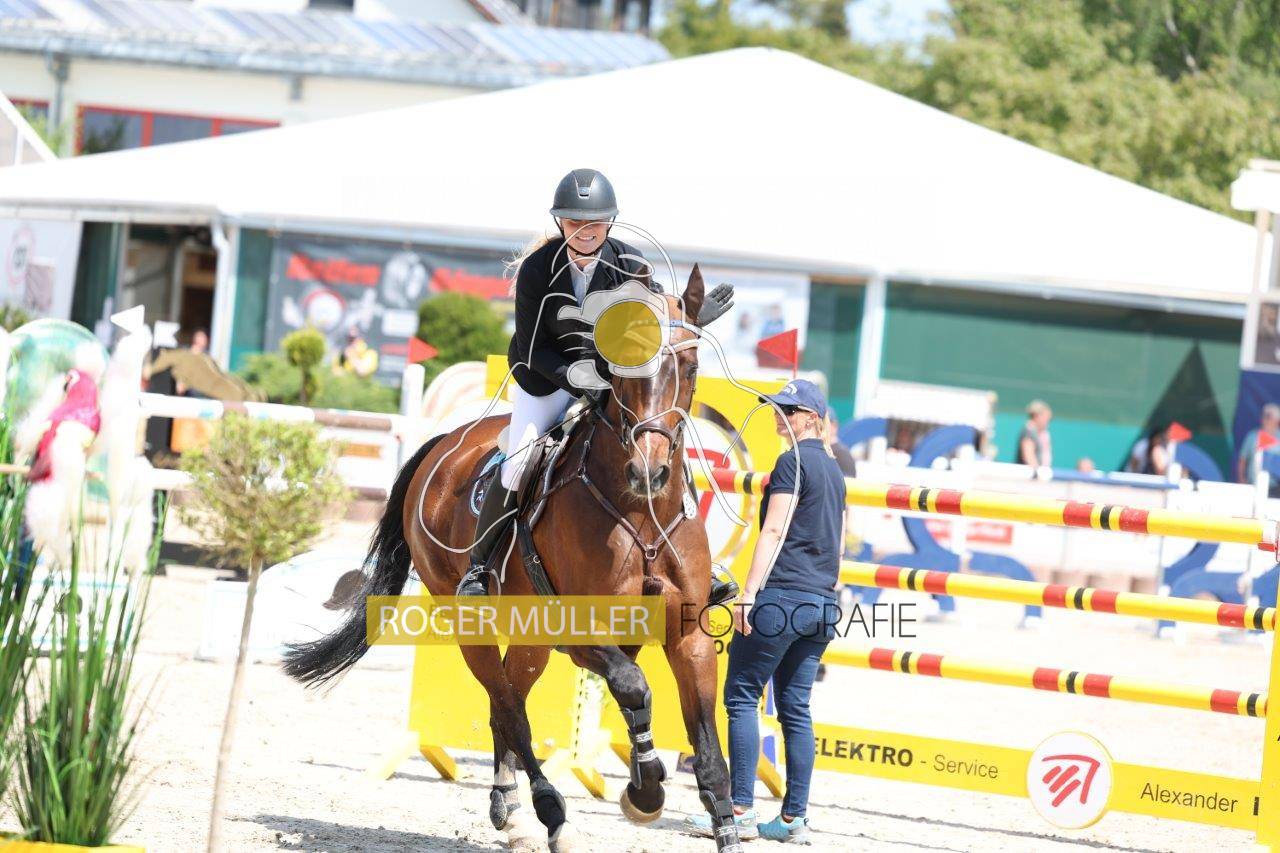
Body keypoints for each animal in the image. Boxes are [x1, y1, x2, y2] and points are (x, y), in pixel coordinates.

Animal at [284, 266, 742, 853]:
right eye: (621, 369)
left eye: (689, 367)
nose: (649, 471)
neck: (639, 510)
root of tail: (448, 441)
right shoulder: (581, 633)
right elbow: (633, 687)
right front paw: (645, 790)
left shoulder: (685, 631)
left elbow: (704, 740)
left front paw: (720, 822)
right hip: (471, 618)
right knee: (507, 707)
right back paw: (548, 814)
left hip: (530, 636)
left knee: (510, 697)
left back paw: (510, 806)